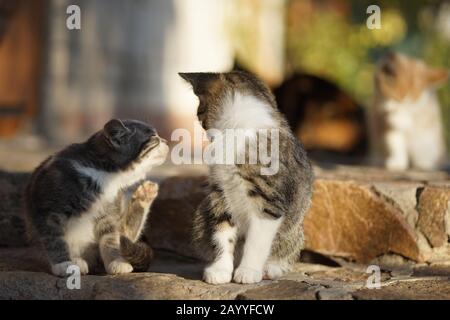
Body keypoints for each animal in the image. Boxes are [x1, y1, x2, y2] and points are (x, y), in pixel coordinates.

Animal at [25, 119, 168, 276]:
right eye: (154, 137)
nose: (167, 141)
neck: (106, 175)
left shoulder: (109, 211)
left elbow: (111, 238)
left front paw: (116, 261)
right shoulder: (49, 206)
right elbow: (53, 237)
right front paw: (64, 264)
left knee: (125, 234)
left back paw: (145, 196)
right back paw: (76, 261)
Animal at [179, 71, 312, 284]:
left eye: (199, 111)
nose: (201, 122)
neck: (238, 132)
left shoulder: (269, 201)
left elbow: (257, 241)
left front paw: (249, 271)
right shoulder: (220, 194)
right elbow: (223, 232)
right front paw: (220, 270)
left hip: (294, 228)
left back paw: (271, 268)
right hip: (202, 212)